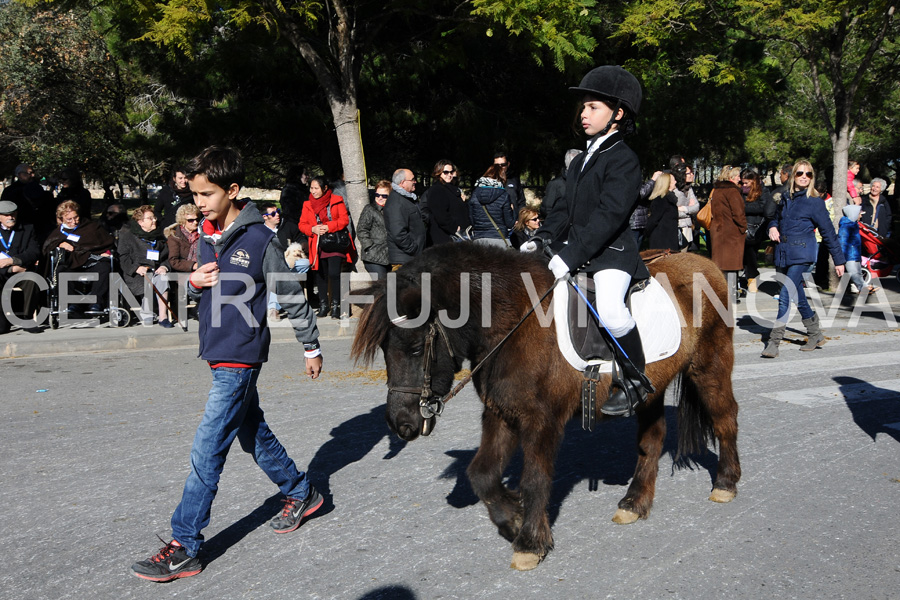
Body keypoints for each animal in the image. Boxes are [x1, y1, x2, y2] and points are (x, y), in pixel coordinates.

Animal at [350, 243, 740, 572]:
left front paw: (530, 543)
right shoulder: (501, 412)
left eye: (416, 347)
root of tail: (705, 262)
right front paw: (513, 519)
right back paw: (634, 503)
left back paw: (725, 483)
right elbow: (482, 475)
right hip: (650, 390)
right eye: (384, 349)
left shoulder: (542, 421)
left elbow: (535, 479)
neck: (513, 320)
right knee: (652, 438)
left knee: (726, 419)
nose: (400, 423)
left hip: (709, 367)